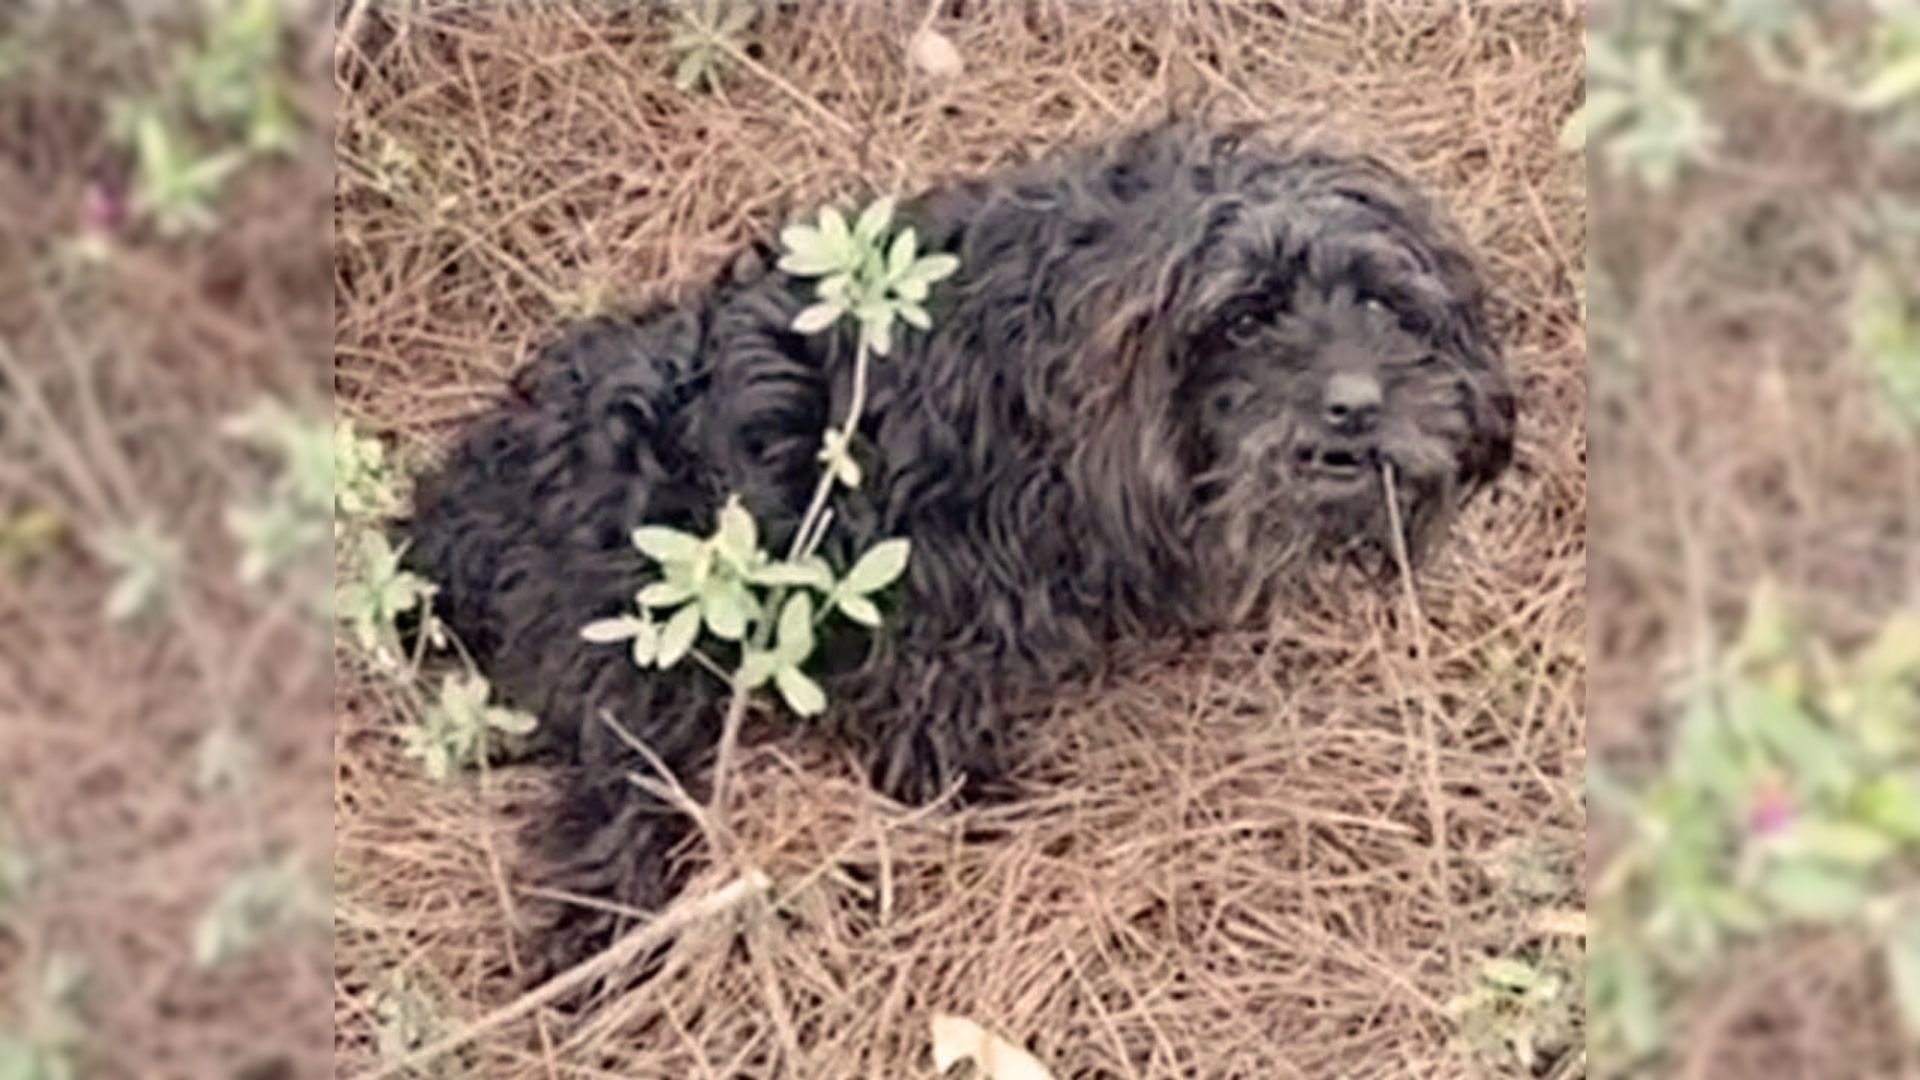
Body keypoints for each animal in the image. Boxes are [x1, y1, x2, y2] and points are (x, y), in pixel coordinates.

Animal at [401, 122, 1512, 972]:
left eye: (1382, 303)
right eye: (1244, 318)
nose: (1357, 405)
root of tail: (462, 501)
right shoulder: (931, 583)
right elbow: (932, 707)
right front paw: (975, 798)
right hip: (641, 644)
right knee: (609, 799)